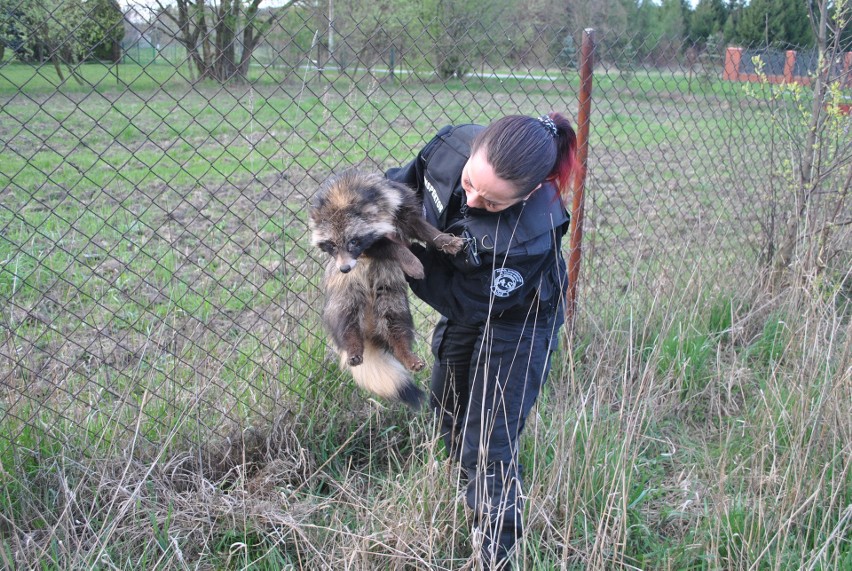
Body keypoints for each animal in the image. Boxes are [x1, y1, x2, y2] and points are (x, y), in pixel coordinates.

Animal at [310, 169, 462, 406]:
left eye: (352, 241)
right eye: (332, 245)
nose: (344, 269)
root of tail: (368, 329)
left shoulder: (401, 204)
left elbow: (422, 227)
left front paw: (444, 240)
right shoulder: (368, 248)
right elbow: (389, 245)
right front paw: (409, 258)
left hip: (392, 299)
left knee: (397, 326)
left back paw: (405, 353)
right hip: (344, 297)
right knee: (345, 321)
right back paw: (353, 344)